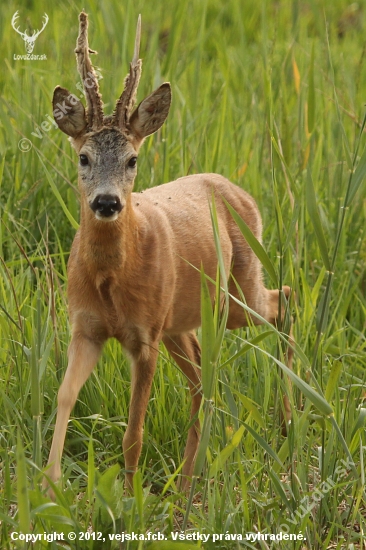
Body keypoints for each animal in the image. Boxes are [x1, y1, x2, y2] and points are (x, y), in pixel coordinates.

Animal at [44, 11, 294, 496]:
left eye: (132, 159)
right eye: (83, 157)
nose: (107, 203)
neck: (110, 282)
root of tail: (242, 192)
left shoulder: (145, 338)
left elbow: (133, 431)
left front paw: (127, 499)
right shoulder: (85, 328)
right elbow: (65, 396)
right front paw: (48, 484)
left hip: (238, 292)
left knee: (285, 300)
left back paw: (288, 421)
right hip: (184, 320)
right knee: (202, 382)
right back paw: (187, 483)